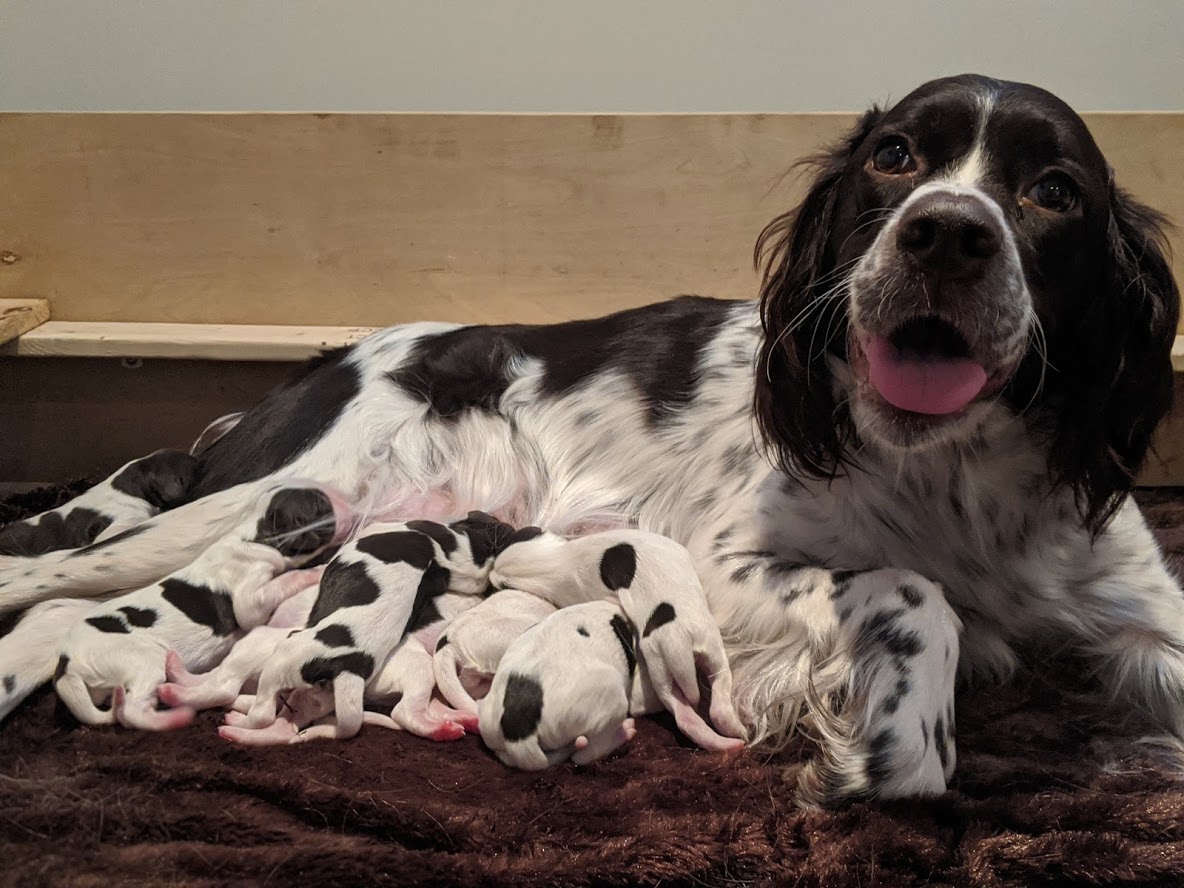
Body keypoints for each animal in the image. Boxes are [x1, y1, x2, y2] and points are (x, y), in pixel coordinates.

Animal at [492, 532, 748, 753]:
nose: (490, 572)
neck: (554, 561)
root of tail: (677, 637)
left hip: (689, 657)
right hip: (677, 664)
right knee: (695, 710)